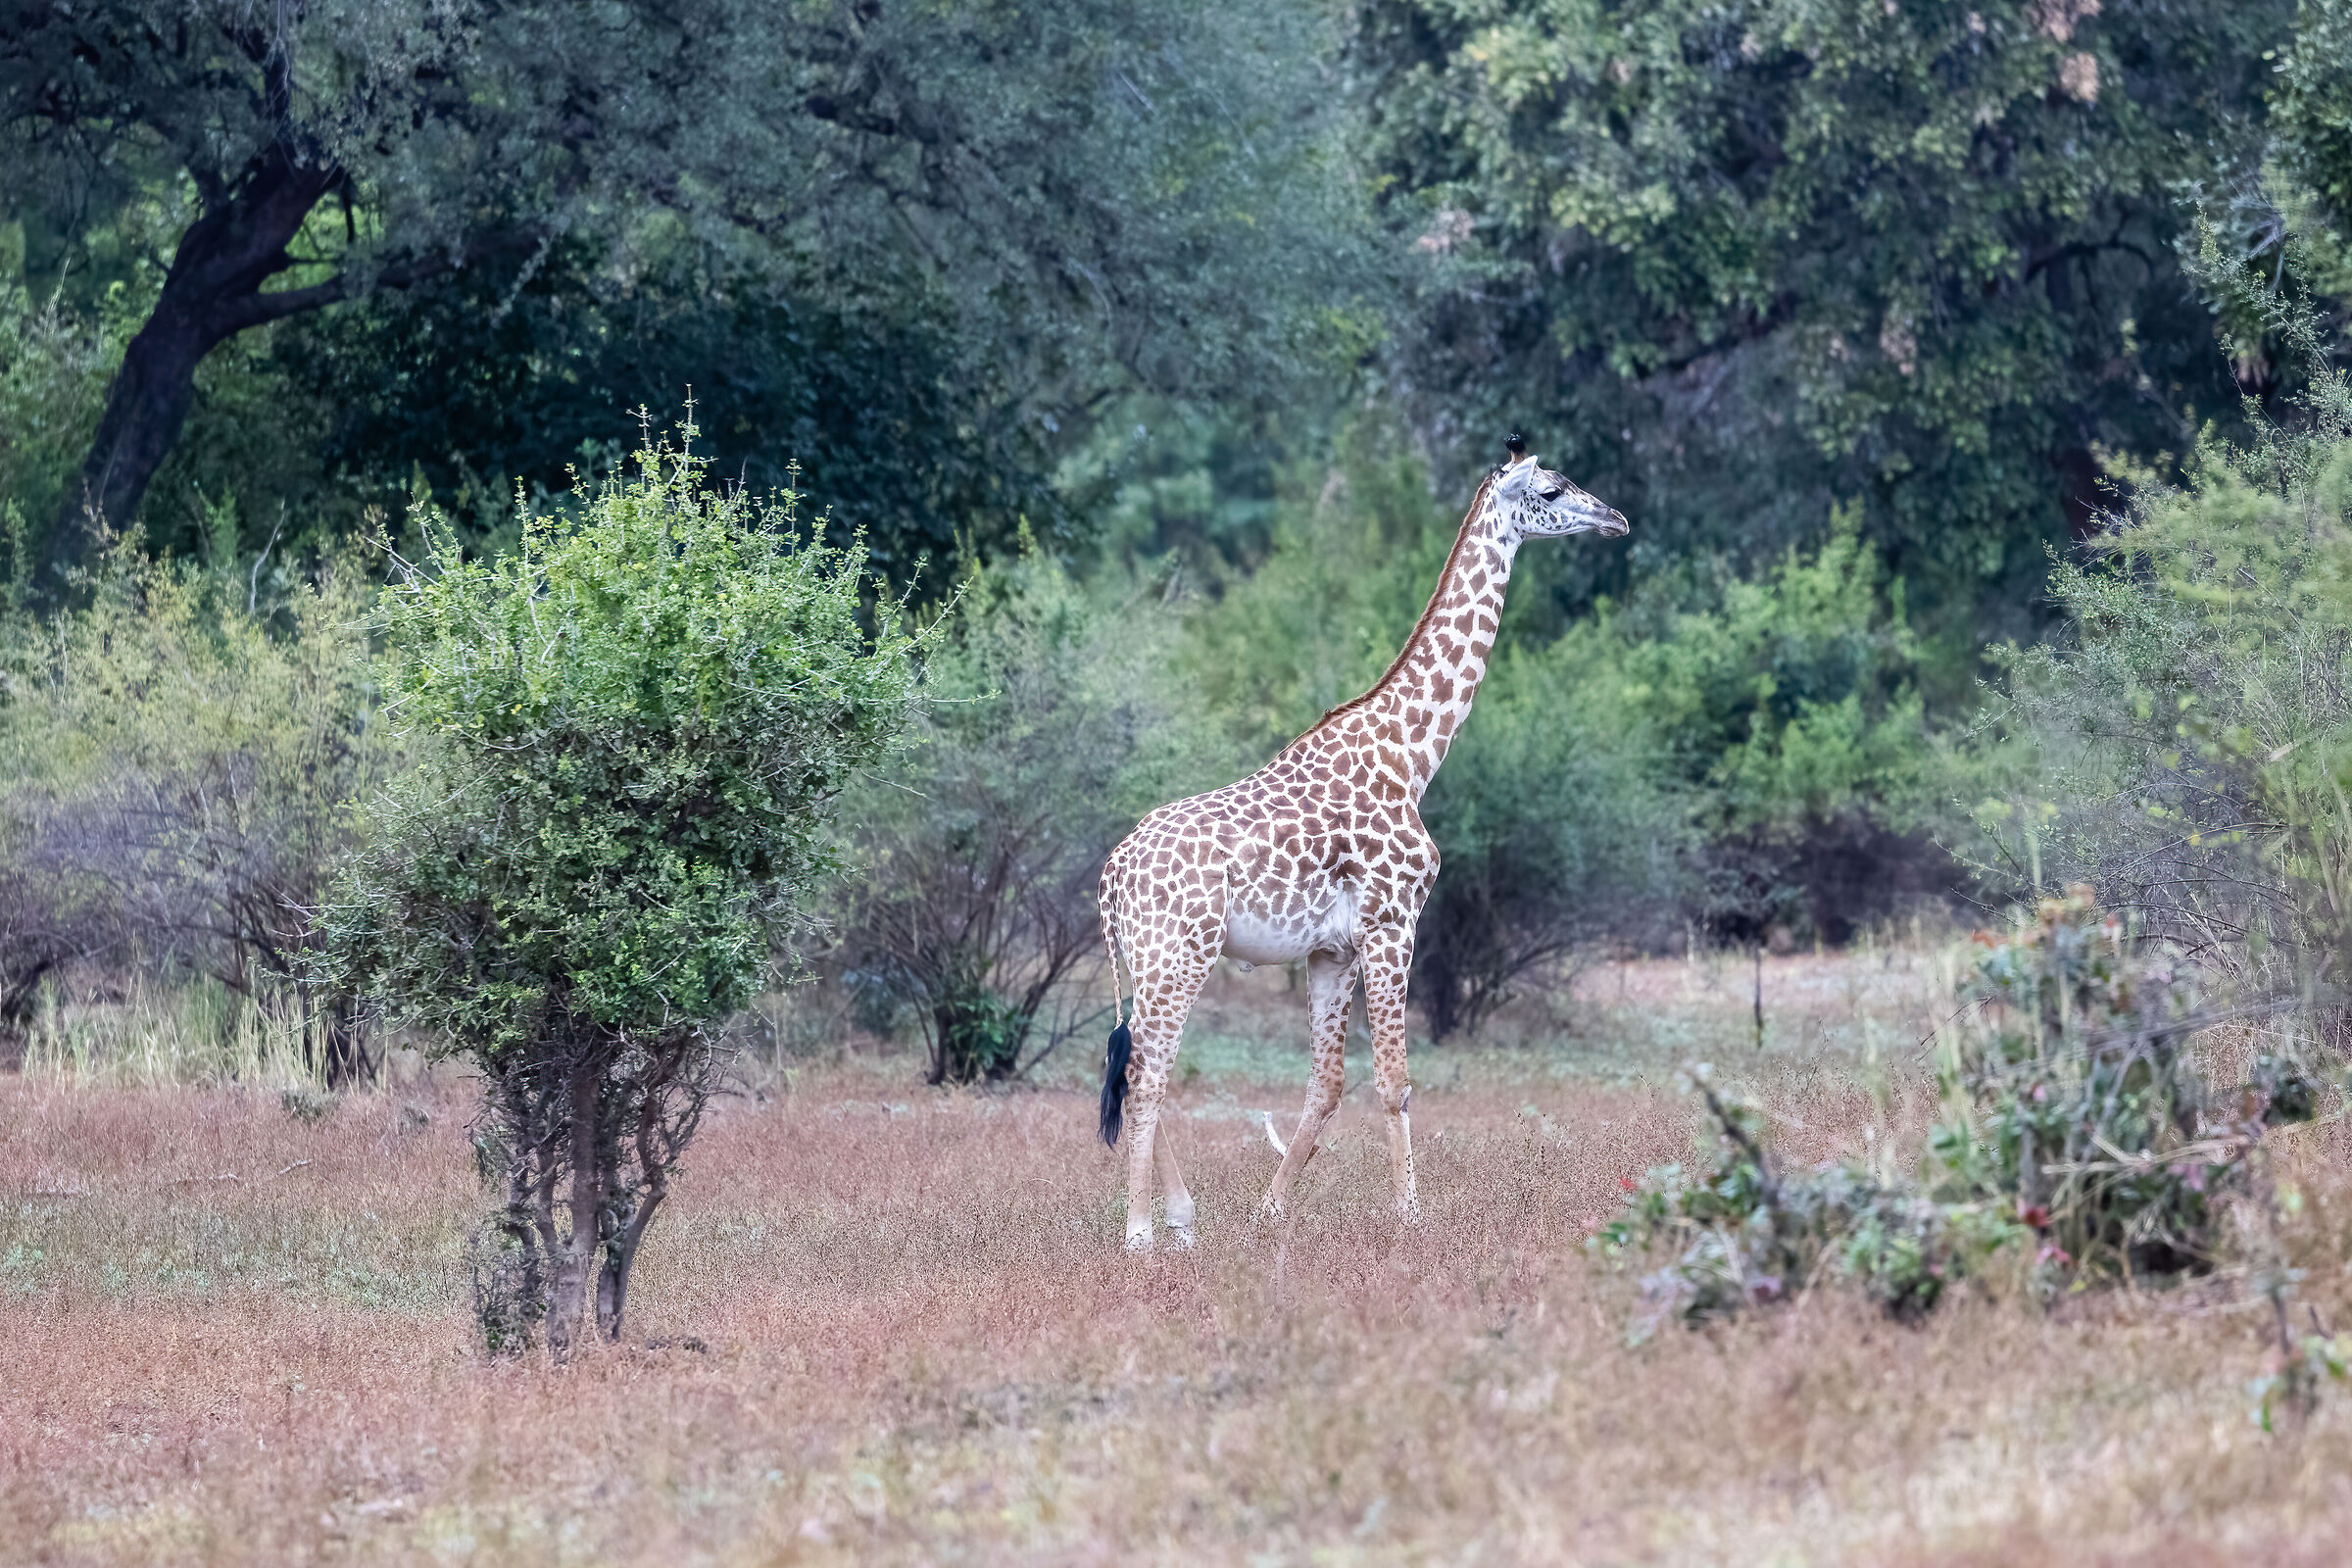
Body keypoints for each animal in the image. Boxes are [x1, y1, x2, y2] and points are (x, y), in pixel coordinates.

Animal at [1094, 439, 1628, 1250]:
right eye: (1551, 488)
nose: (1616, 519)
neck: (1413, 753)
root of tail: (1112, 873)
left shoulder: (1331, 950)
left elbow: (1328, 1085)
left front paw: (1270, 1213)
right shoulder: (1392, 924)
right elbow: (1395, 1082)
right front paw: (1411, 1215)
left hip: (1151, 957)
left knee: (1138, 1067)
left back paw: (1183, 1218)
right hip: (1176, 953)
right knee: (1147, 1074)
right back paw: (1140, 1233)